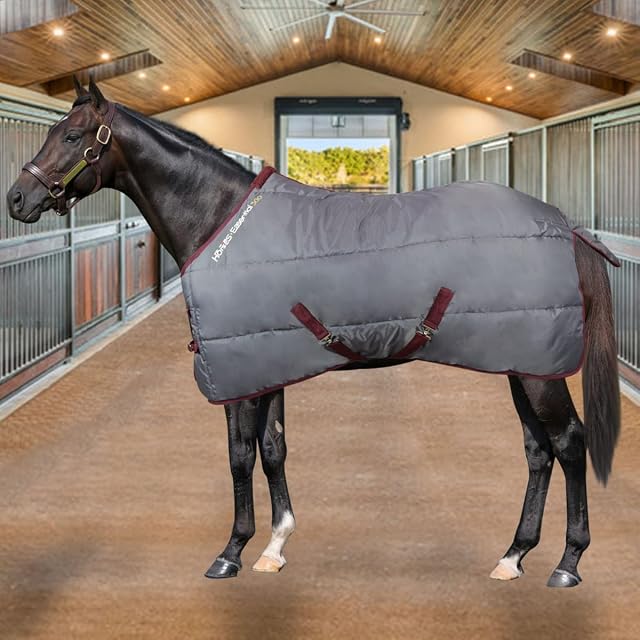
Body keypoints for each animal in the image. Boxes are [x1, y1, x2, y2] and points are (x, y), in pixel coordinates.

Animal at [6, 79, 620, 588]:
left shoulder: (237, 373)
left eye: (73, 135)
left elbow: (239, 455)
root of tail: (566, 228)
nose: (17, 199)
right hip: (521, 363)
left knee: (569, 443)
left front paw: (231, 552)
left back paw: (567, 563)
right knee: (538, 451)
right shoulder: (267, 363)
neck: (218, 219)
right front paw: (275, 546)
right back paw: (513, 556)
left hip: (539, 370)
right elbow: (273, 448)